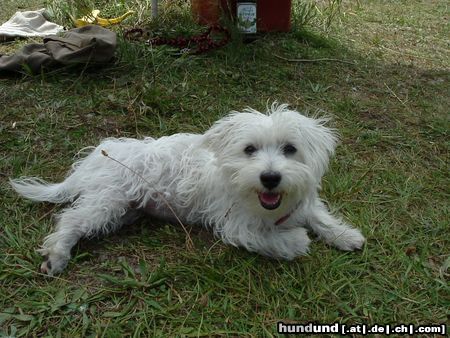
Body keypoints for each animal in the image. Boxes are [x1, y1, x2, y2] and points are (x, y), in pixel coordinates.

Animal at [10, 104, 364, 276]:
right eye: (249, 149)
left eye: (290, 149)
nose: (270, 178)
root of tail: (96, 157)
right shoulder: (237, 227)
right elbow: (280, 241)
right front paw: (298, 240)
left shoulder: (303, 202)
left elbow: (320, 217)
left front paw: (345, 235)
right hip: (106, 203)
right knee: (70, 221)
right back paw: (57, 256)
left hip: (123, 211)